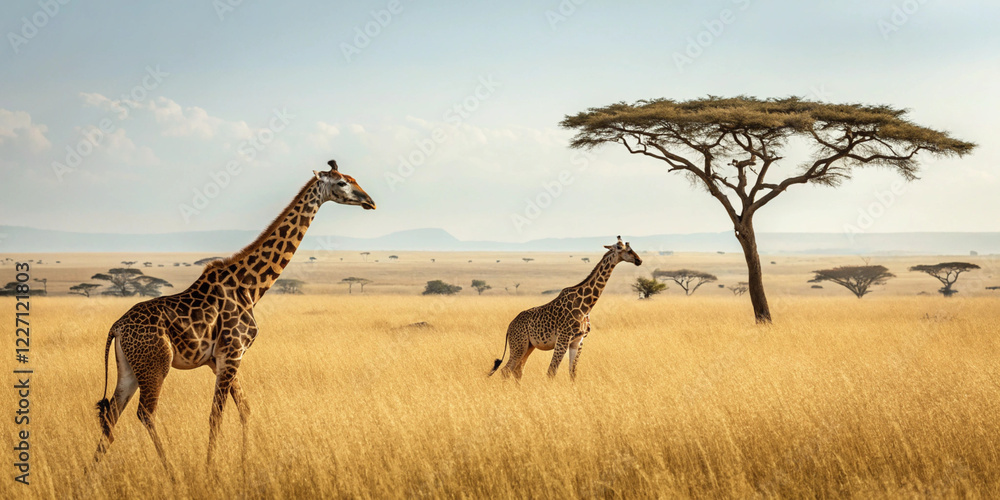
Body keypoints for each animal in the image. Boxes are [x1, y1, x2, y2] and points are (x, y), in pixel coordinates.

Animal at [93, 159, 375, 471]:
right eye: (342, 183)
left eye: (353, 178)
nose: (370, 201)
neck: (251, 287)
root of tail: (117, 327)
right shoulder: (232, 353)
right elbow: (217, 415)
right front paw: (210, 470)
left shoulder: (221, 360)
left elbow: (245, 409)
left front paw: (243, 463)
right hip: (156, 364)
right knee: (145, 413)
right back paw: (172, 472)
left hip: (129, 369)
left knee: (111, 415)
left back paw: (89, 473)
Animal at [488, 236, 641, 380]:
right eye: (621, 248)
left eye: (630, 247)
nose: (639, 260)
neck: (586, 306)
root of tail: (509, 327)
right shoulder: (563, 339)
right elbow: (551, 371)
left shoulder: (577, 341)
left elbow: (572, 372)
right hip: (519, 345)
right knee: (506, 370)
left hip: (528, 346)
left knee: (517, 370)